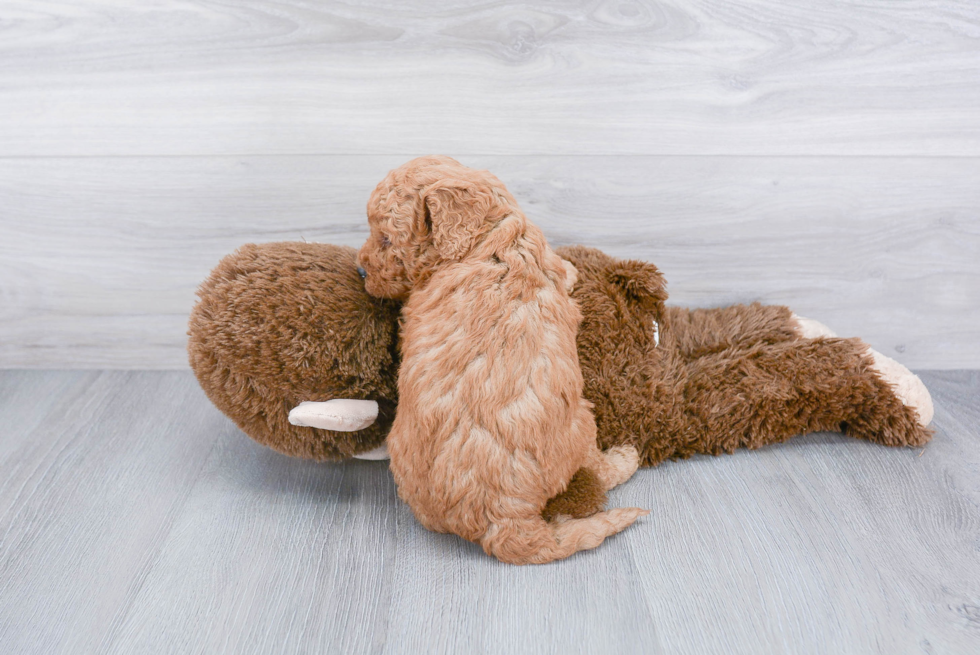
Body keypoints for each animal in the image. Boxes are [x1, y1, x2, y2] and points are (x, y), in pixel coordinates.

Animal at [356, 155, 648, 564]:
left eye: (385, 238)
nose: (361, 270)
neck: (490, 237)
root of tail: (502, 518)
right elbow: (564, 269)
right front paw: (574, 268)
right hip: (581, 422)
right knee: (596, 468)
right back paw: (625, 457)